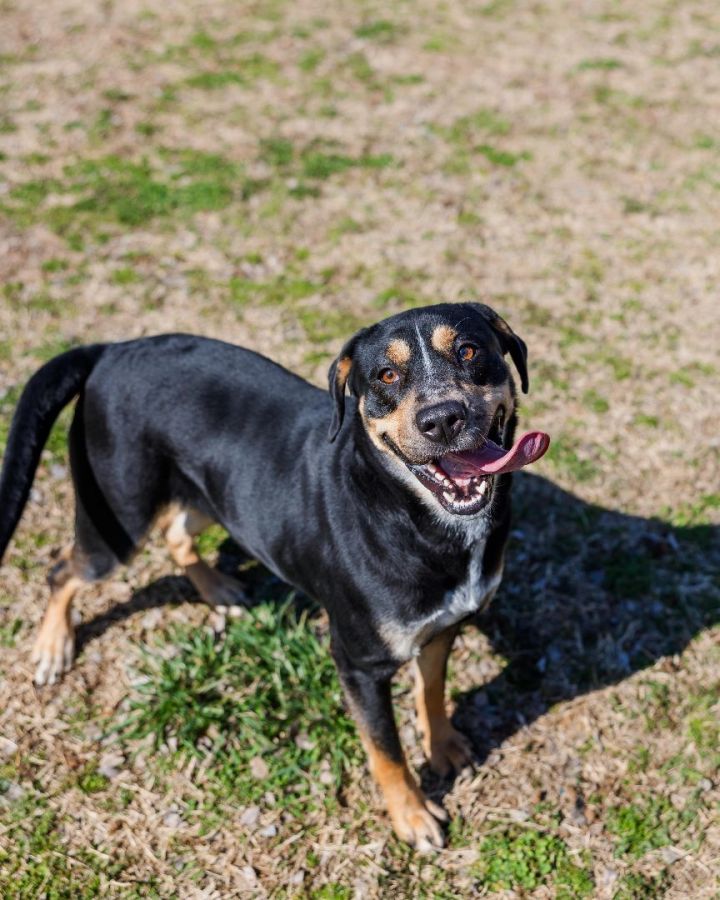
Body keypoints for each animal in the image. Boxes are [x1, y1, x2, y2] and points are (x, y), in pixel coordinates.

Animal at [0, 302, 548, 852]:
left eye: (469, 351)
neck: (419, 519)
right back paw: (52, 648)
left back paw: (218, 590)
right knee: (63, 569)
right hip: (118, 519)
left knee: (175, 533)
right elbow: (385, 750)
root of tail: (110, 350)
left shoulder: (445, 625)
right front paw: (411, 815)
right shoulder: (359, 664)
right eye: (386, 376)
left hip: (217, 496)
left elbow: (431, 691)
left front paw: (443, 746)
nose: (442, 419)